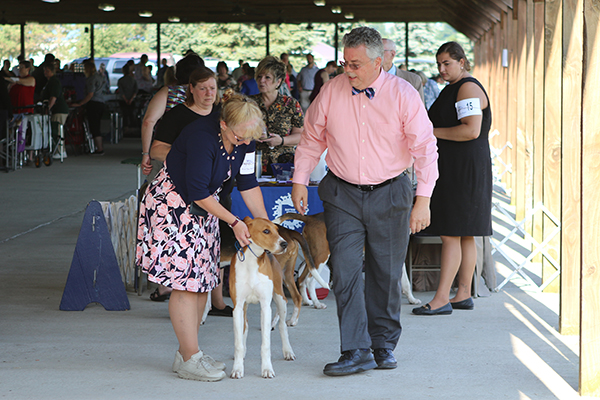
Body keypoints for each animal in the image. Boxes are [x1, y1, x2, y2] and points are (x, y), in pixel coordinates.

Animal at [228, 217, 296, 379]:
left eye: (277, 230)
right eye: (266, 231)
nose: (284, 244)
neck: (252, 262)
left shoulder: (266, 307)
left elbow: (266, 344)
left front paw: (267, 369)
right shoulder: (237, 307)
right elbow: (238, 343)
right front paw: (237, 368)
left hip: (280, 299)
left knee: (282, 325)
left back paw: (288, 351)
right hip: (244, 308)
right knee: (244, 327)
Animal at [275, 212, 422, 306]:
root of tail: (311, 218)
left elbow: (405, 282)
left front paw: (412, 300)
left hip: (311, 255)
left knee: (301, 278)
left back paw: (307, 301)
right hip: (322, 255)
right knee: (310, 280)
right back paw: (317, 303)